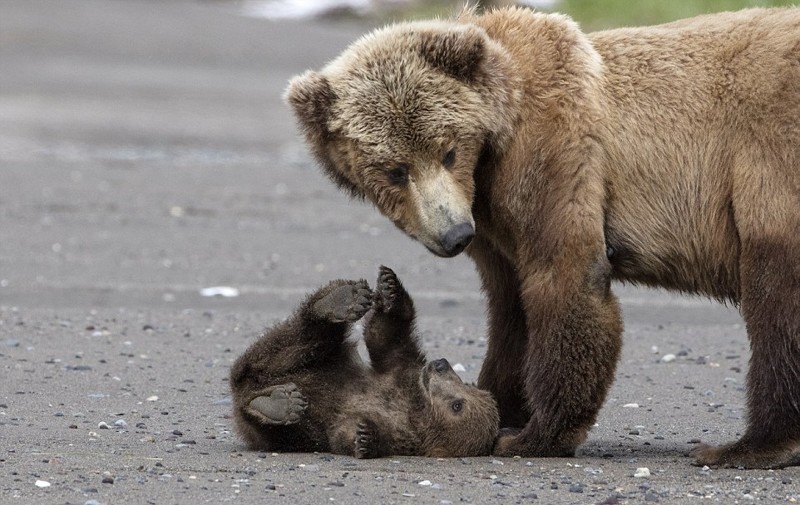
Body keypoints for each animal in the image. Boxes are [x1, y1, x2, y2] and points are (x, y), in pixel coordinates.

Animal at [286, 5, 800, 466]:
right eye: (395, 170)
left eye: (448, 151)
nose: (454, 235)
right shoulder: (494, 225)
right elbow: (510, 307)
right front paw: (496, 404)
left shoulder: (552, 150)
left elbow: (565, 276)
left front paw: (534, 436)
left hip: (766, 161)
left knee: (775, 298)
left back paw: (747, 447)